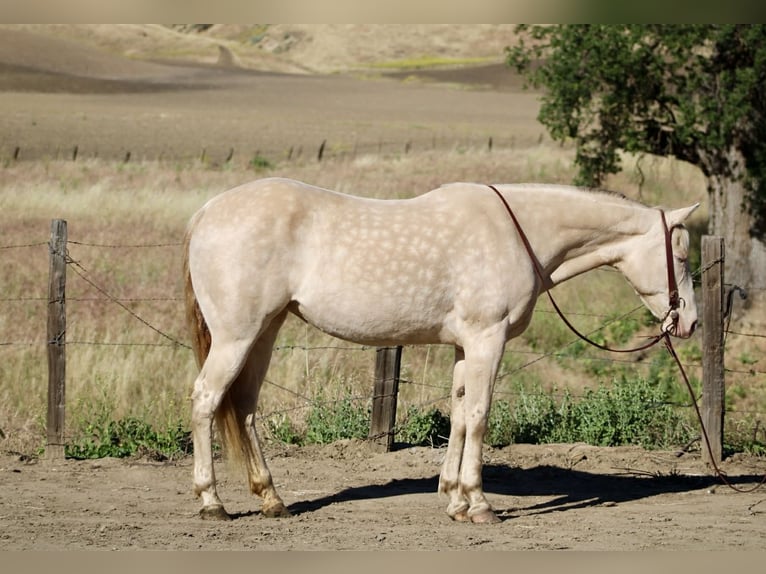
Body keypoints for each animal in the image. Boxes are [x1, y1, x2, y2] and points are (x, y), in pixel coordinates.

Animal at [183, 177, 699, 524]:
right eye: (681, 256)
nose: (690, 321)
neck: (517, 233)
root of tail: (206, 211)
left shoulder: (465, 347)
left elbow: (458, 415)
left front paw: (454, 498)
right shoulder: (488, 340)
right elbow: (480, 416)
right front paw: (480, 504)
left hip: (264, 332)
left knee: (245, 408)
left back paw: (272, 499)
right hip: (237, 336)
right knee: (207, 400)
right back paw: (212, 502)